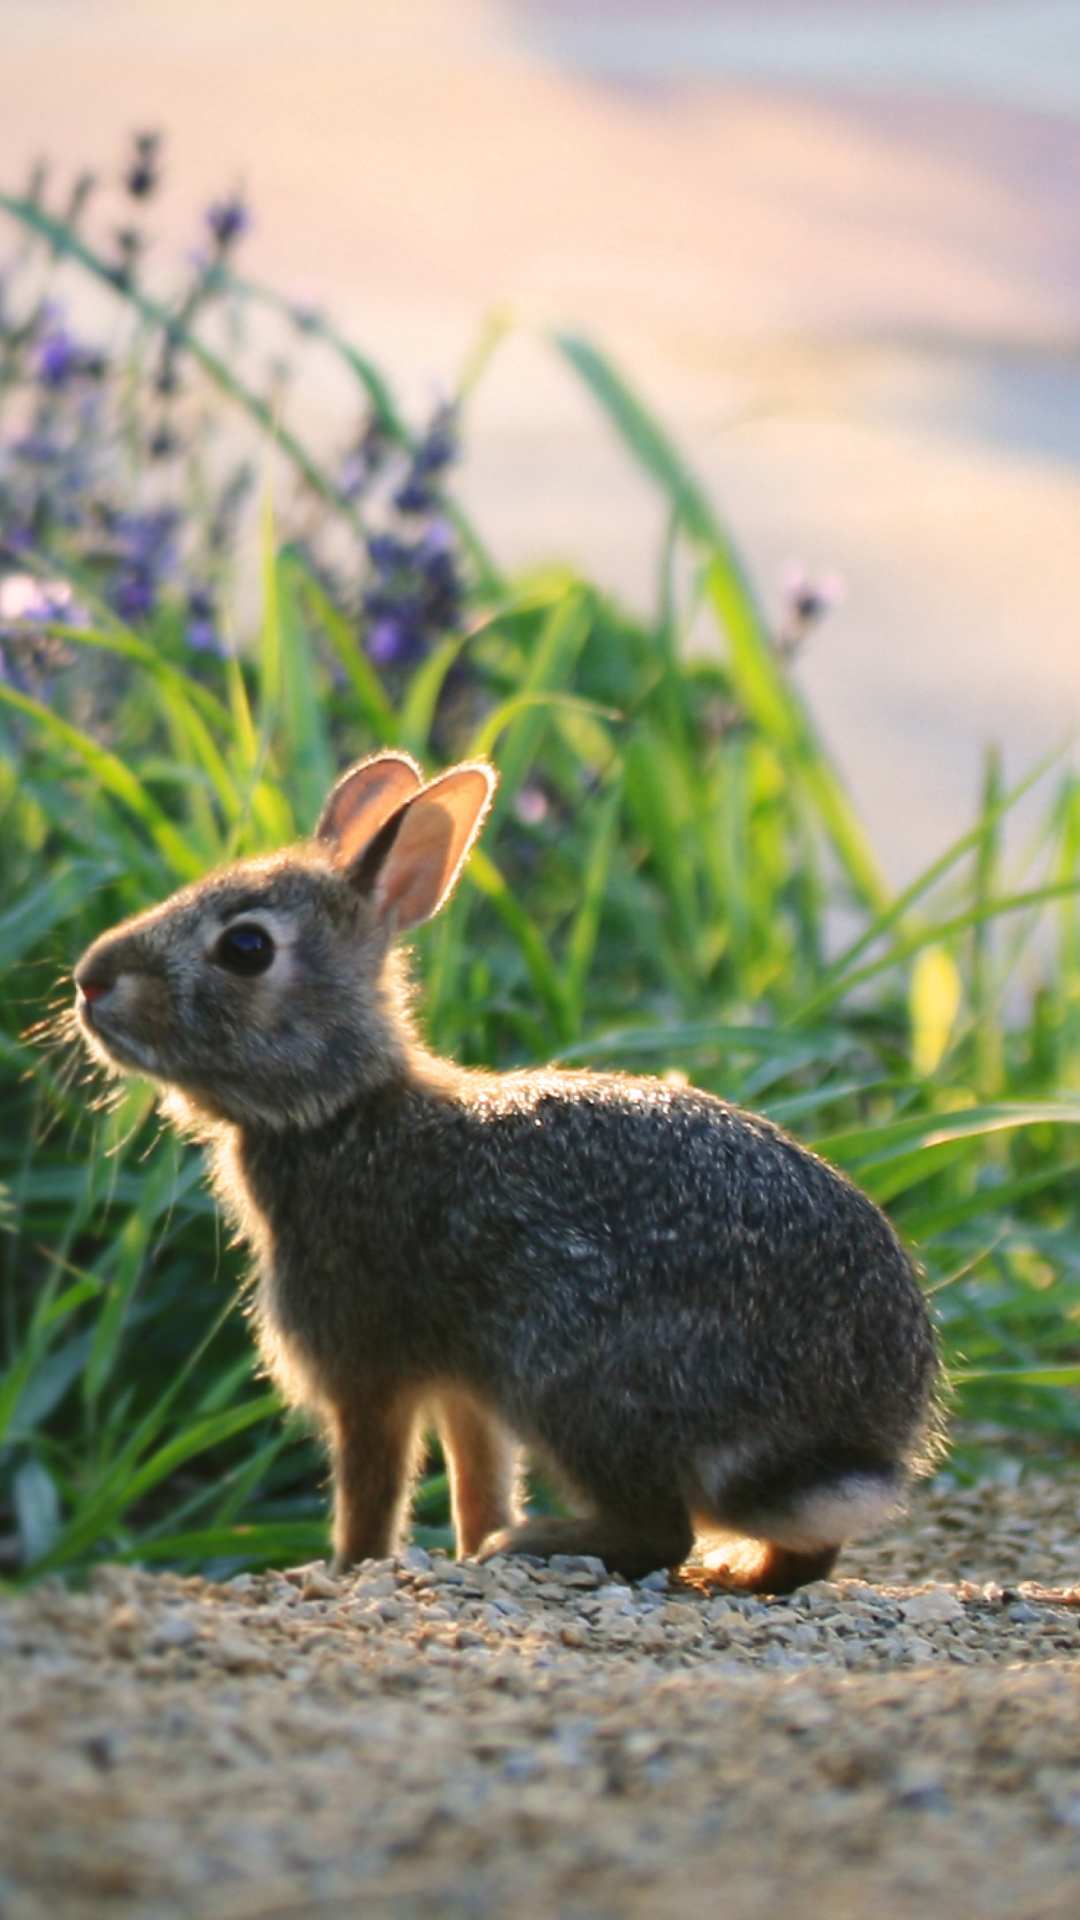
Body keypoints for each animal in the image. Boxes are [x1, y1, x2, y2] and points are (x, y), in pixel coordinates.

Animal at [73, 748, 933, 1589]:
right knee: (802, 1554)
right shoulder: (465, 1389)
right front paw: (466, 1541)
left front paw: (351, 1567)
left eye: (245, 948)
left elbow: (372, 1483)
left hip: (575, 1374)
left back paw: (546, 1545)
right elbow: (477, 1474)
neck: (340, 1108)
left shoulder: (365, 1365)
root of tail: (848, 1436)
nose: (90, 980)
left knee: (660, 1532)